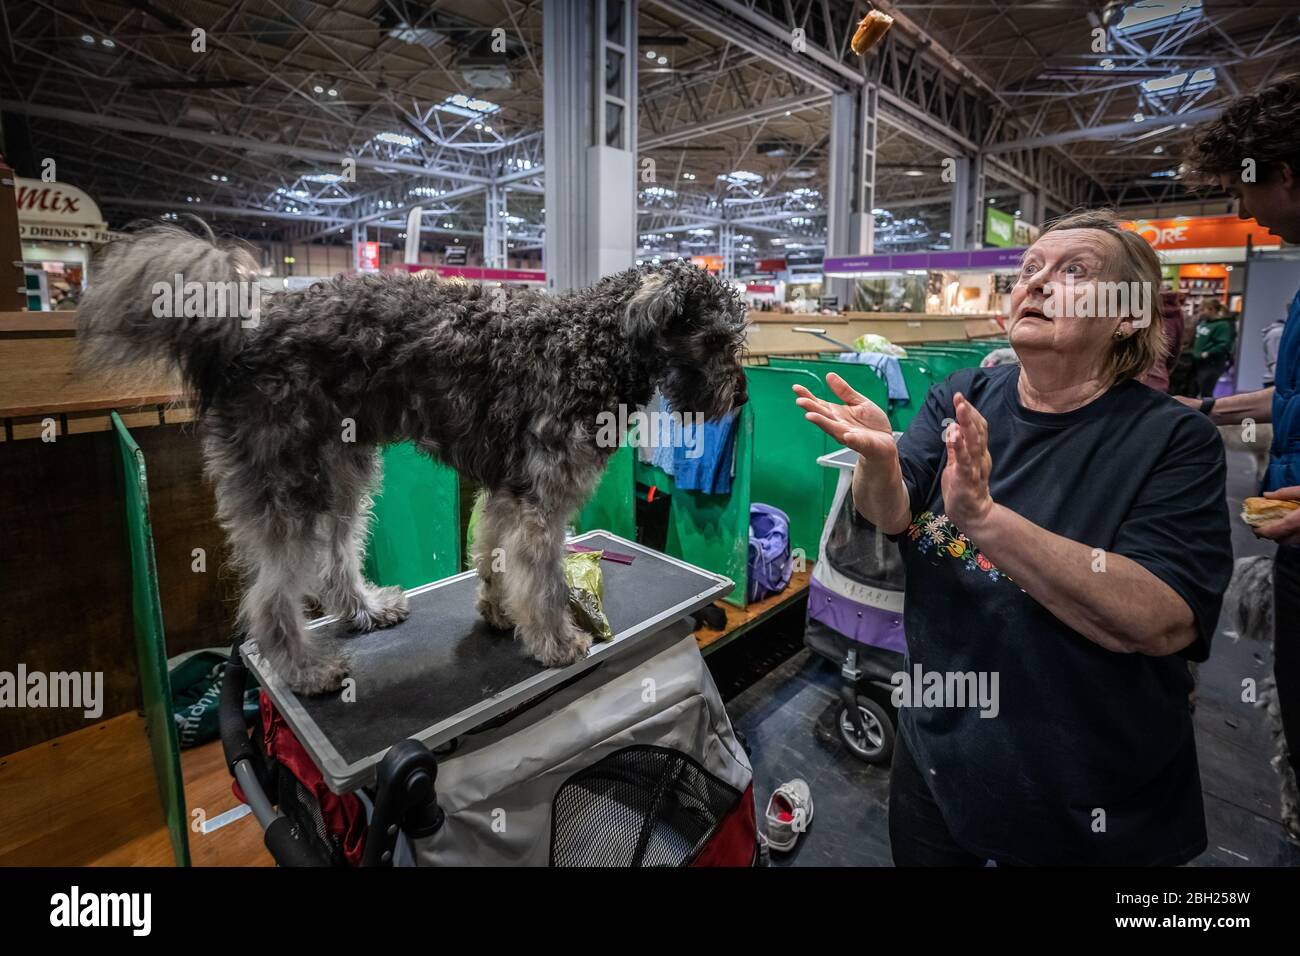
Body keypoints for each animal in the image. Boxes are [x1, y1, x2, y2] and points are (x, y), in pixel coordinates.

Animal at [81, 223, 748, 697]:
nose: (741, 397)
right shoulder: (541, 501)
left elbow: (493, 555)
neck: (593, 343)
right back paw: (305, 671)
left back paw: (365, 609)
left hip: (344, 472)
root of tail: (241, 332)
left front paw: (498, 612)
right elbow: (543, 580)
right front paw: (554, 639)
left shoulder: (506, 491)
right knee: (268, 601)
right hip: (291, 489)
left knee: (335, 560)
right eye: (715, 340)